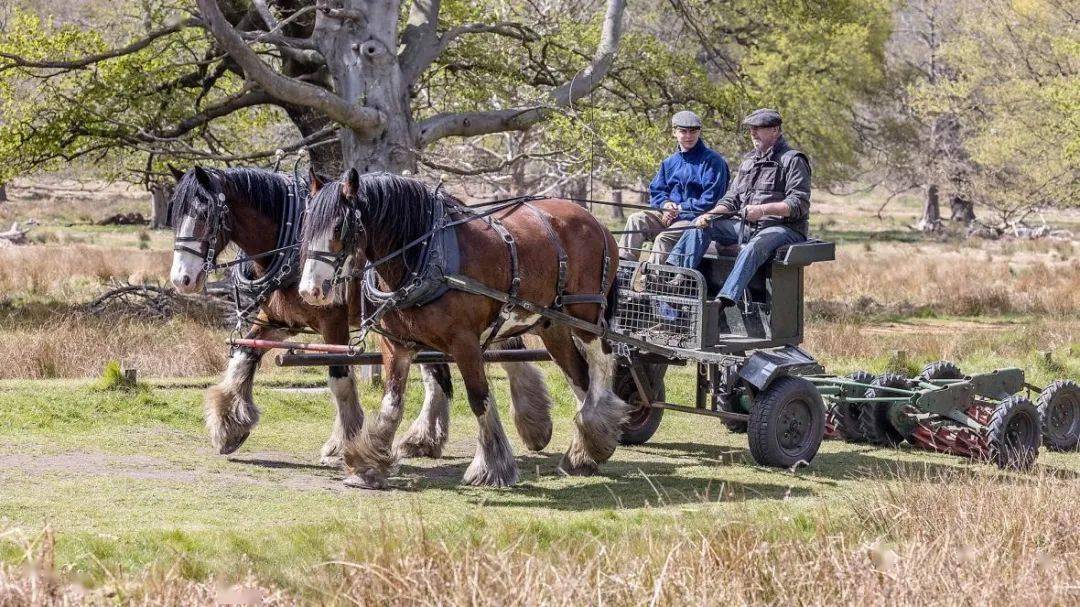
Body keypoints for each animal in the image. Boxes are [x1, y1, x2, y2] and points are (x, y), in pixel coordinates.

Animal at [168, 165, 557, 462]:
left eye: (204, 216)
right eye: (175, 216)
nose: (181, 279)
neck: (288, 241)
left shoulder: (332, 321)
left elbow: (340, 379)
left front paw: (343, 442)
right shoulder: (279, 320)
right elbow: (244, 357)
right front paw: (228, 425)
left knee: (501, 352)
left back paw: (532, 424)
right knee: (441, 371)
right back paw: (427, 438)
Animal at [300, 168, 630, 486]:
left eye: (339, 227)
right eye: (306, 226)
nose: (310, 290)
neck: (426, 255)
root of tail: (595, 221)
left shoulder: (465, 343)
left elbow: (479, 398)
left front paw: (492, 468)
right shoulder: (397, 344)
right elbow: (392, 404)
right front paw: (369, 465)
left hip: (586, 315)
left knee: (602, 363)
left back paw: (593, 430)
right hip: (554, 327)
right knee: (580, 379)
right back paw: (585, 450)